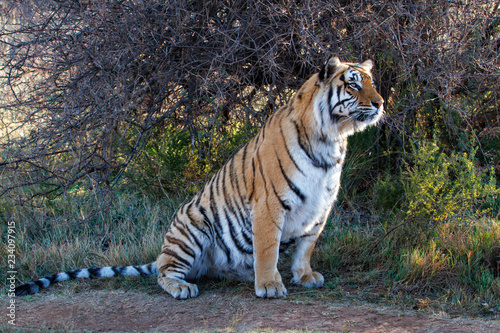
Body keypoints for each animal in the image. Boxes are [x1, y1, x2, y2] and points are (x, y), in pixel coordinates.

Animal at [14, 55, 382, 298]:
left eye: (372, 83)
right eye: (353, 84)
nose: (380, 103)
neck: (332, 140)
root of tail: (162, 251)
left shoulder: (320, 206)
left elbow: (306, 245)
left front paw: (304, 276)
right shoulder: (269, 204)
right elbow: (268, 247)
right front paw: (268, 285)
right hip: (192, 226)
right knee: (164, 273)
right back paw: (182, 287)